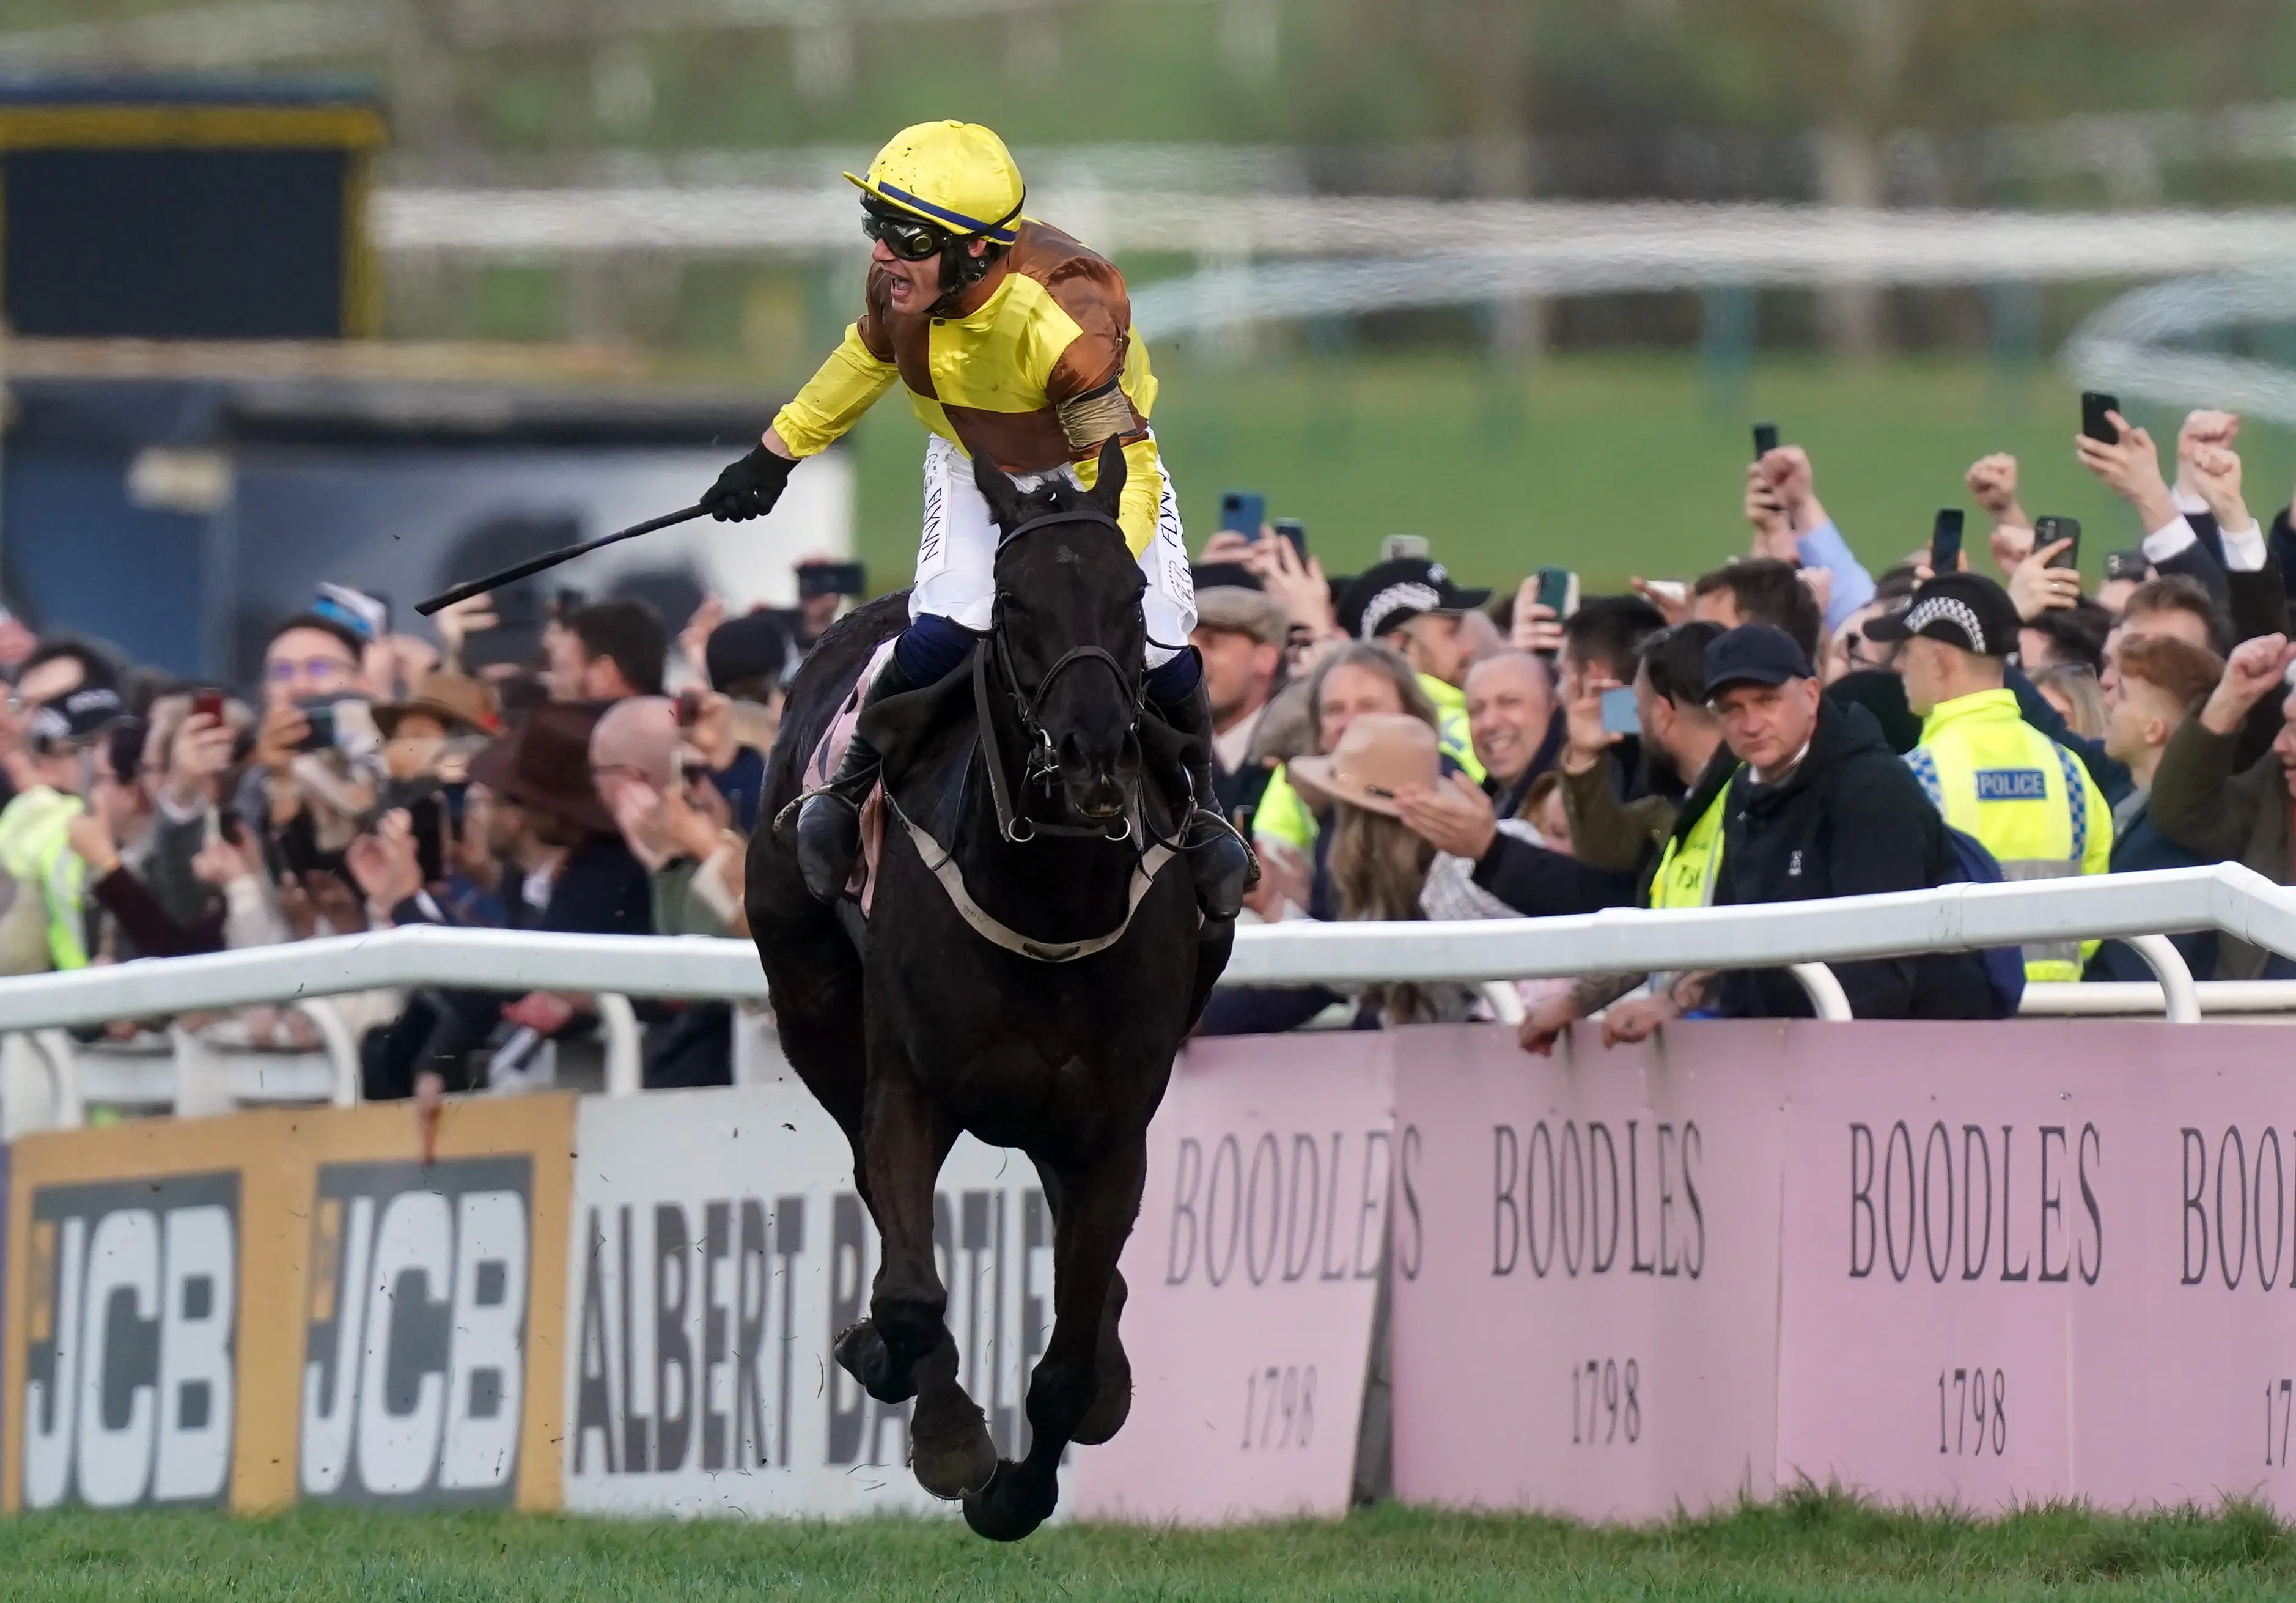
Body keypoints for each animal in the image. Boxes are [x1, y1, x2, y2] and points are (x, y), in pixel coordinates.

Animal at [747, 436, 1231, 1541]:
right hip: (811, 1005)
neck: (1048, 896)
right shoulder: (909, 1089)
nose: (1094, 751)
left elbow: (1069, 1353)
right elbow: (911, 1291)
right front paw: (942, 1426)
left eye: (1133, 595)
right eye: (1012, 605)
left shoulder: (1113, 1122)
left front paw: (1022, 1483)